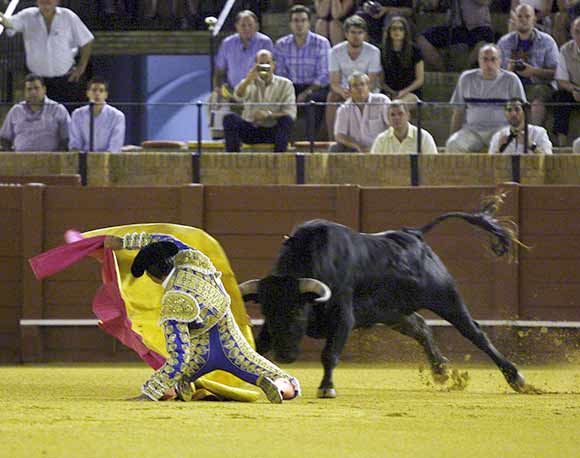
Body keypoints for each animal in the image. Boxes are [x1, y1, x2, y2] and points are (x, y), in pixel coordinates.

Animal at [237, 198, 532, 398]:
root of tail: (415, 235)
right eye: (267, 312)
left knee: (476, 334)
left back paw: (516, 378)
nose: (284, 355)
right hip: (393, 312)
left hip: (446, 298)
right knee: (421, 328)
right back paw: (440, 370)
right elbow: (255, 345)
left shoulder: (343, 317)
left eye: (298, 311)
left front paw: (326, 388)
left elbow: (329, 354)